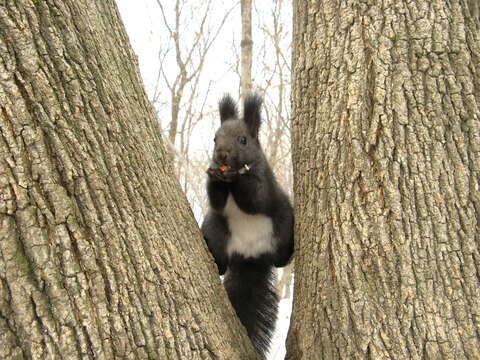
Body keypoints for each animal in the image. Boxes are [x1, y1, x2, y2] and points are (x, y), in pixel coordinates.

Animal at [202, 93, 294, 358]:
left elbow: (256, 198)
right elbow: (216, 200)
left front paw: (236, 177)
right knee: (221, 261)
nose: (221, 154)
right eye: (215, 138)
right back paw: (216, 262)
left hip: (283, 224)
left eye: (243, 140)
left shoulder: (265, 183)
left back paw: (285, 257)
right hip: (215, 229)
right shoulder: (218, 201)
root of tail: (251, 256)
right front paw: (215, 174)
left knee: (280, 259)